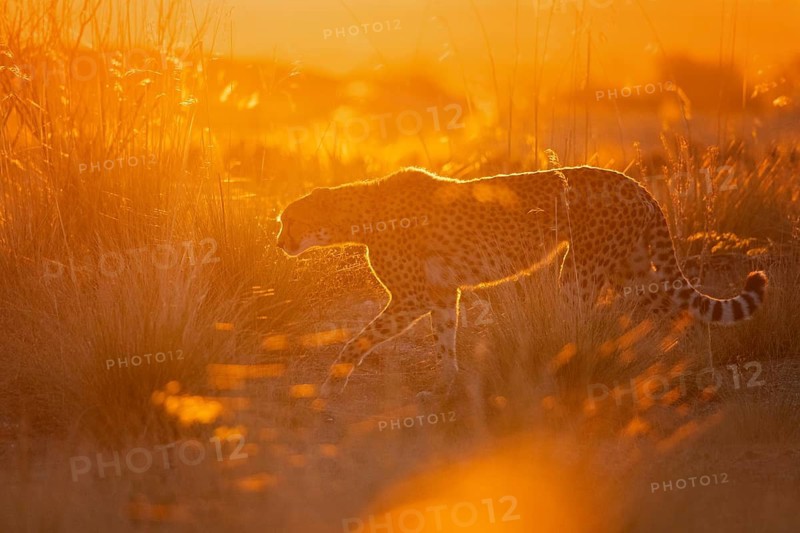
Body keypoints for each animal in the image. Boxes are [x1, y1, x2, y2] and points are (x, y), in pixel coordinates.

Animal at [276, 166, 768, 399]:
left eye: (287, 220)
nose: (278, 242)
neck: (355, 214)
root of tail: (635, 183)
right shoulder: (441, 294)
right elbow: (445, 340)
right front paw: (447, 386)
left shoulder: (412, 297)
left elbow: (359, 339)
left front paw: (331, 383)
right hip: (633, 269)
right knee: (685, 313)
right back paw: (698, 371)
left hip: (581, 270)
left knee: (582, 319)